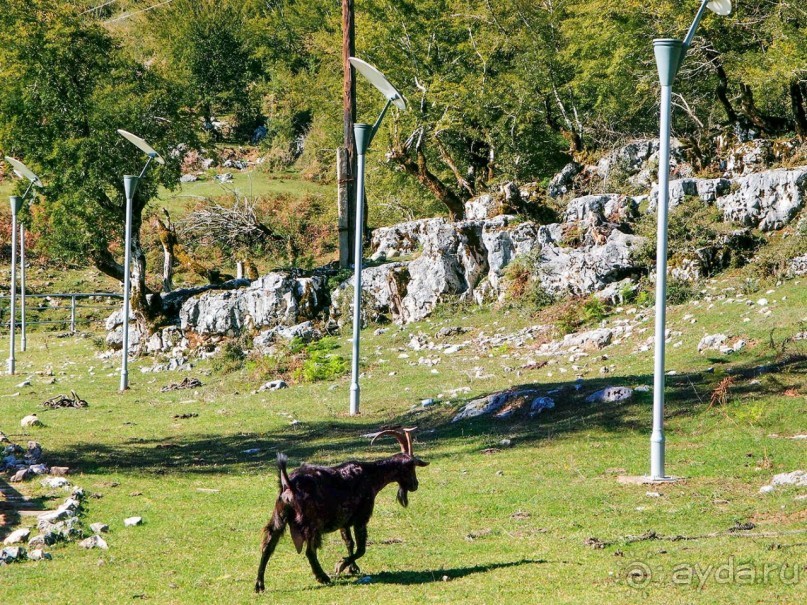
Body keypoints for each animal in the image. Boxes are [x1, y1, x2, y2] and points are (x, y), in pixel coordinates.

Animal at [256, 428, 430, 592]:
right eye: (410, 467)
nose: (415, 485)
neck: (371, 475)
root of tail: (289, 484)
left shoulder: (344, 522)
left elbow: (349, 543)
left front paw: (353, 568)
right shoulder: (361, 518)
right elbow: (361, 548)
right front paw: (341, 565)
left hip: (279, 516)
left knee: (268, 546)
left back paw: (259, 585)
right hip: (312, 523)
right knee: (310, 551)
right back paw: (323, 577)